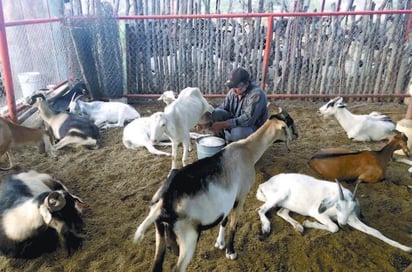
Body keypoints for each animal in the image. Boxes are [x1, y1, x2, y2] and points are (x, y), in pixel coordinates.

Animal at [132, 104, 296, 272]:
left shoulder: (228, 199)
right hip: (188, 238)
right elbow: (233, 225)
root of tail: (163, 201)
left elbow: (224, 220)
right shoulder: (241, 195)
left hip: (160, 236)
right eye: (290, 123)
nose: (296, 135)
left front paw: (220, 243)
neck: (247, 150)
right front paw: (230, 252)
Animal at [256, 174, 410, 253]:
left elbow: (375, 232)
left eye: (353, 208)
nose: (343, 224)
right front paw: (308, 223)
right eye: (337, 206)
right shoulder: (318, 214)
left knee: (282, 212)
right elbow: (334, 227)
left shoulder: (351, 219)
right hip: (279, 196)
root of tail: (264, 184)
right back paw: (266, 228)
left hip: (290, 204)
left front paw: (406, 248)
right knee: (261, 209)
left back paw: (299, 227)